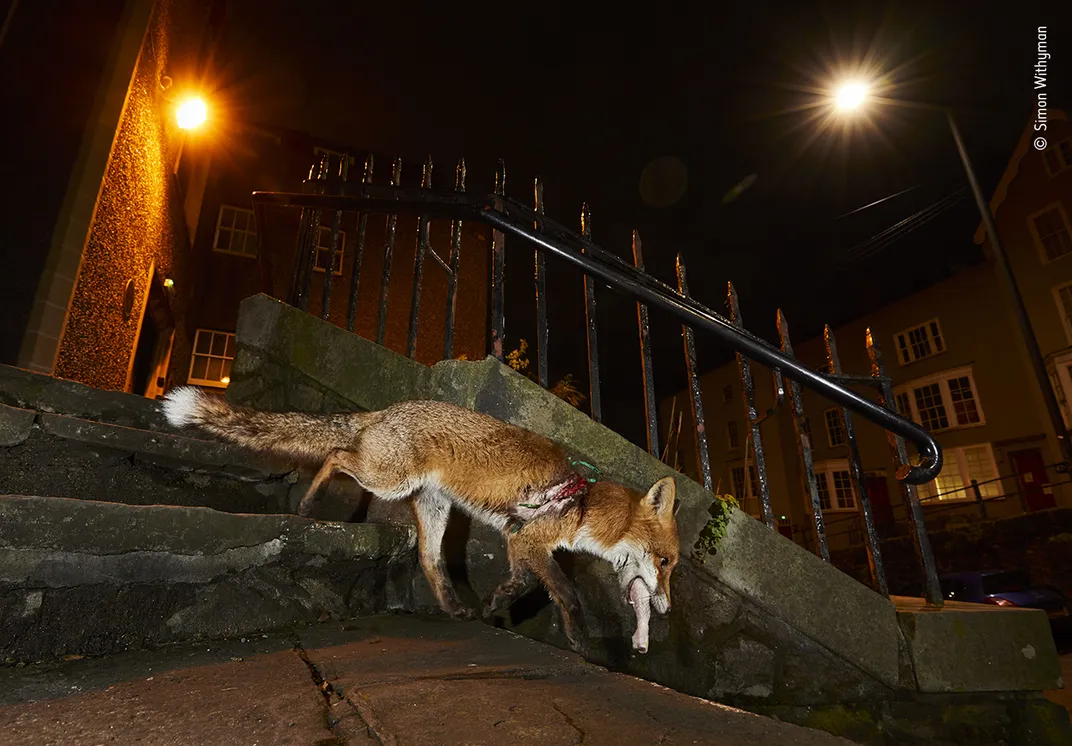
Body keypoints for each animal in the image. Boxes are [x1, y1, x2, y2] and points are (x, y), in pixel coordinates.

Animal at [160, 388, 677, 655]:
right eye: (667, 562)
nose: (668, 611)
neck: (581, 505)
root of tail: (385, 410)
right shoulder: (532, 540)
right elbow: (566, 593)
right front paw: (579, 639)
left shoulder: (518, 542)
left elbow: (523, 584)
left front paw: (493, 603)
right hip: (389, 480)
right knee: (336, 453)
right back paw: (309, 503)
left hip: (432, 507)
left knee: (430, 561)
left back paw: (453, 607)